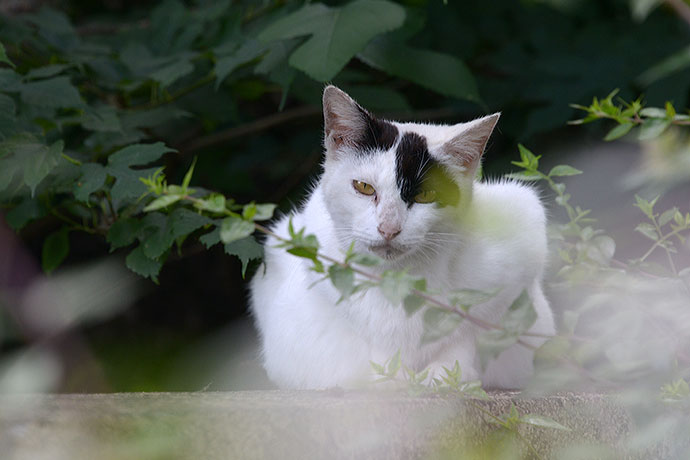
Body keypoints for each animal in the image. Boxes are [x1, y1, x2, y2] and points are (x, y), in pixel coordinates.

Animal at [247, 85, 552, 388]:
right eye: (364, 187)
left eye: (426, 195)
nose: (388, 229)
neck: (398, 278)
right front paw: (388, 376)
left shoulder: (522, 237)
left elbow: (470, 332)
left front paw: (447, 371)